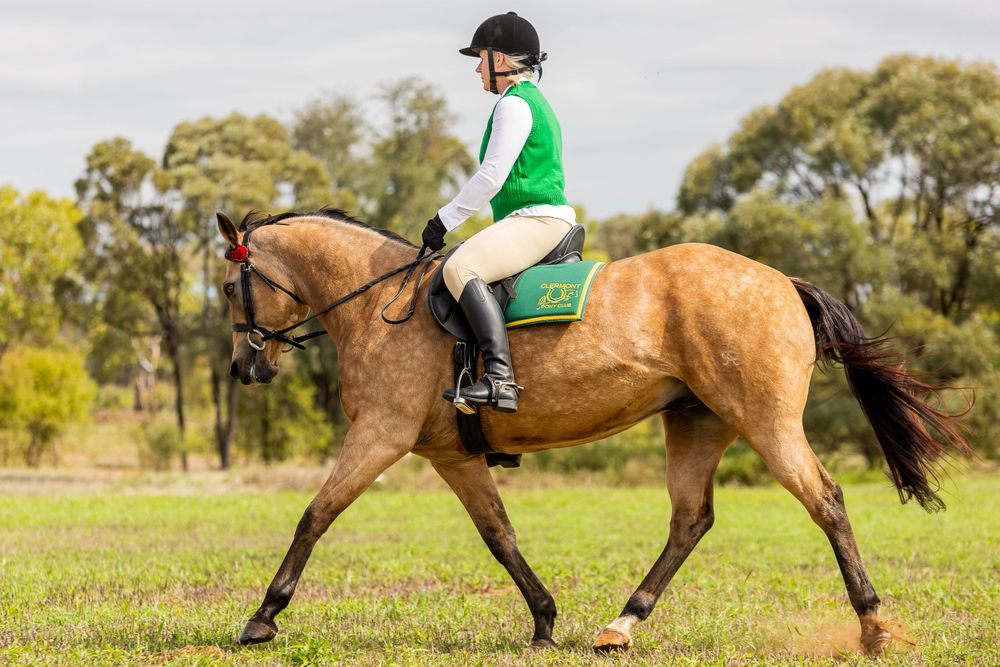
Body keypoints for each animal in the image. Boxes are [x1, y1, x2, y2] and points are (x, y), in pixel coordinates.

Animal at [215, 208, 969, 655]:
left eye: (226, 288)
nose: (244, 366)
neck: (378, 301)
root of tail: (781, 280)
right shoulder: (448, 454)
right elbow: (499, 536)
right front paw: (545, 619)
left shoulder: (380, 433)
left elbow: (315, 514)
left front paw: (263, 615)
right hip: (697, 423)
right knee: (691, 520)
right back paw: (621, 623)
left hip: (765, 420)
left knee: (826, 500)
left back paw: (873, 624)